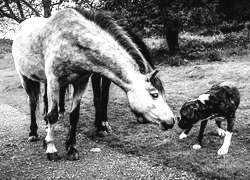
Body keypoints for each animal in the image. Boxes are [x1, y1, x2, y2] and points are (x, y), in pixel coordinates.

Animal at [12, 7, 175, 161]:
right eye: (154, 94)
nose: (172, 121)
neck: (72, 40)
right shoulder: (55, 81)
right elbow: (53, 115)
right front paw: (51, 149)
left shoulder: (81, 83)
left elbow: (74, 116)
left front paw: (72, 148)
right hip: (26, 78)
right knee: (32, 102)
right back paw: (33, 133)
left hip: (45, 81)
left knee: (45, 100)